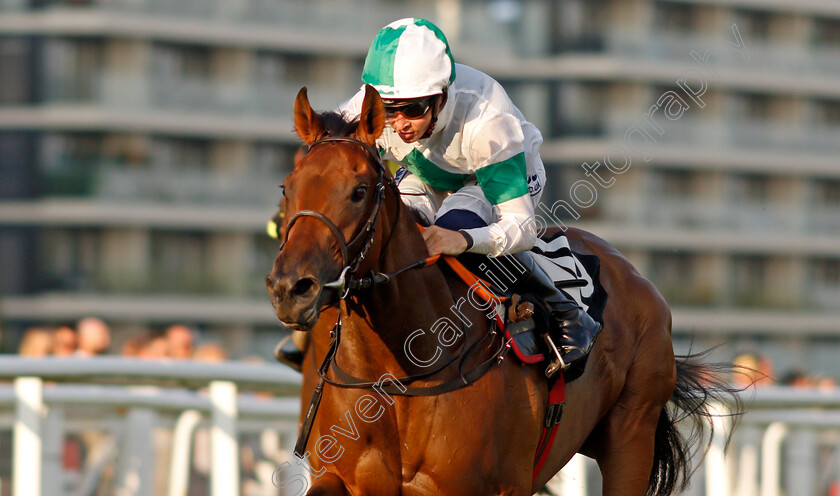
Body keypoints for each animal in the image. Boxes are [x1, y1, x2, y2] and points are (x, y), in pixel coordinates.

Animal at [266, 83, 732, 494]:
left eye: (359, 191)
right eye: (287, 188)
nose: (291, 287)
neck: (399, 375)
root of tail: (634, 275)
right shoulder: (344, 478)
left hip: (631, 435)